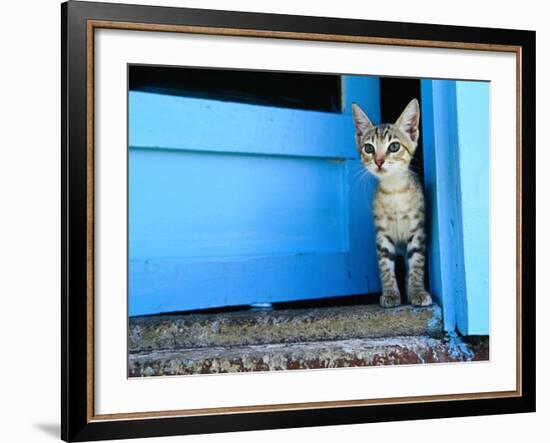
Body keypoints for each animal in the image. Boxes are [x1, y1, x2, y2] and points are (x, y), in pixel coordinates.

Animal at [352, 100, 434, 308]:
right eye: (369, 148)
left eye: (394, 146)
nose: (379, 161)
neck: (394, 191)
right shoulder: (382, 235)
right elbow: (385, 266)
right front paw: (390, 293)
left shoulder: (417, 231)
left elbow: (416, 263)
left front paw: (417, 291)